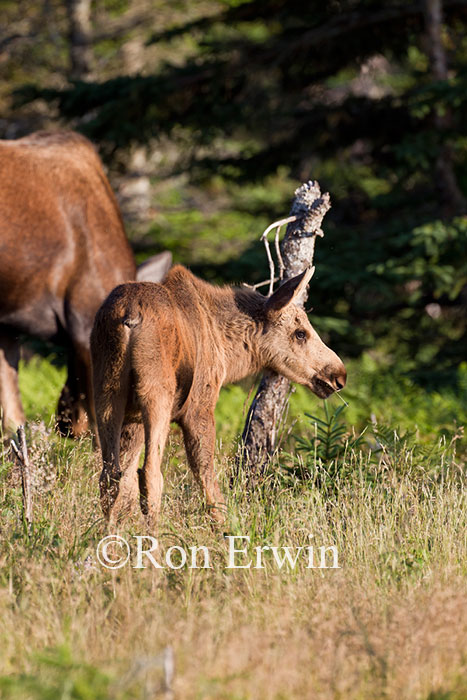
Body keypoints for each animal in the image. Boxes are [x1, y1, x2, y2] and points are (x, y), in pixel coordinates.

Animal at [92, 264, 348, 524]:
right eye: (300, 333)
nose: (339, 375)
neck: (227, 349)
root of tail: (129, 316)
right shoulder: (199, 406)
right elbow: (206, 476)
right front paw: (226, 528)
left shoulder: (132, 418)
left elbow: (125, 484)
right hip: (156, 392)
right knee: (150, 474)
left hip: (107, 391)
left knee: (110, 476)